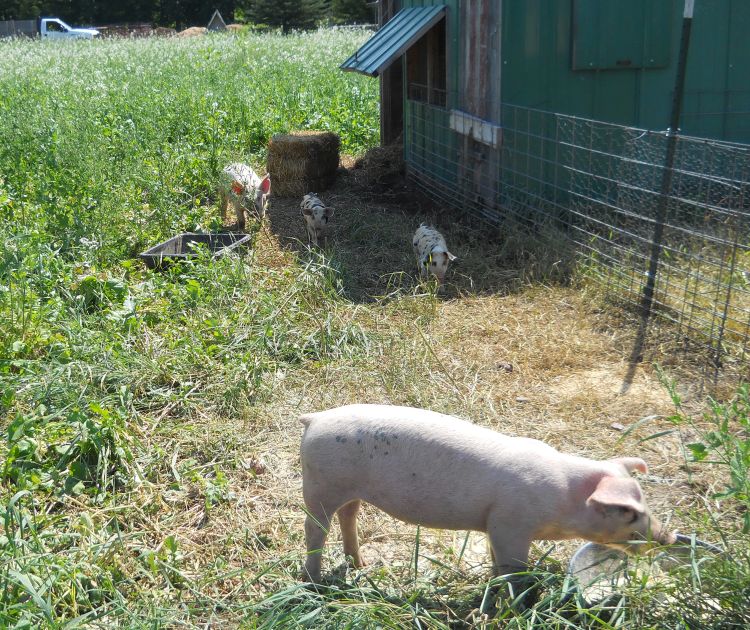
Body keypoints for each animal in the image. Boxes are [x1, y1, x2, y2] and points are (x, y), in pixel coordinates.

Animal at [298, 408, 676, 584]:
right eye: (630, 512)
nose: (669, 537)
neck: (563, 501)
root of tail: (315, 418)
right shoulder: (511, 523)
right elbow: (513, 567)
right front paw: (515, 596)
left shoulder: (495, 524)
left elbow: (497, 561)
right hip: (320, 484)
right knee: (315, 529)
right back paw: (315, 581)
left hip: (346, 488)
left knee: (348, 516)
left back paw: (361, 565)